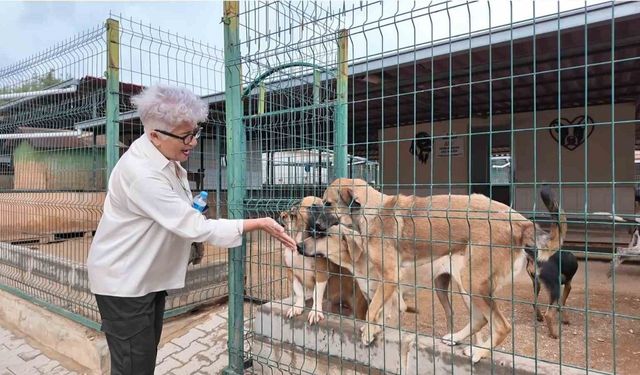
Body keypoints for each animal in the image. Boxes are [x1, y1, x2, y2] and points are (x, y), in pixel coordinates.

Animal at [318, 180, 564, 364]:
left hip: (472, 281)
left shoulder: (390, 277)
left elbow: (373, 310)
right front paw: (375, 329)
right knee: (479, 319)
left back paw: (479, 352)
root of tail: (521, 222)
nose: (315, 226)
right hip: (463, 285)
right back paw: (457, 339)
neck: (372, 212)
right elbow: (380, 311)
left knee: (502, 325)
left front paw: (369, 332)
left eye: (328, 203)